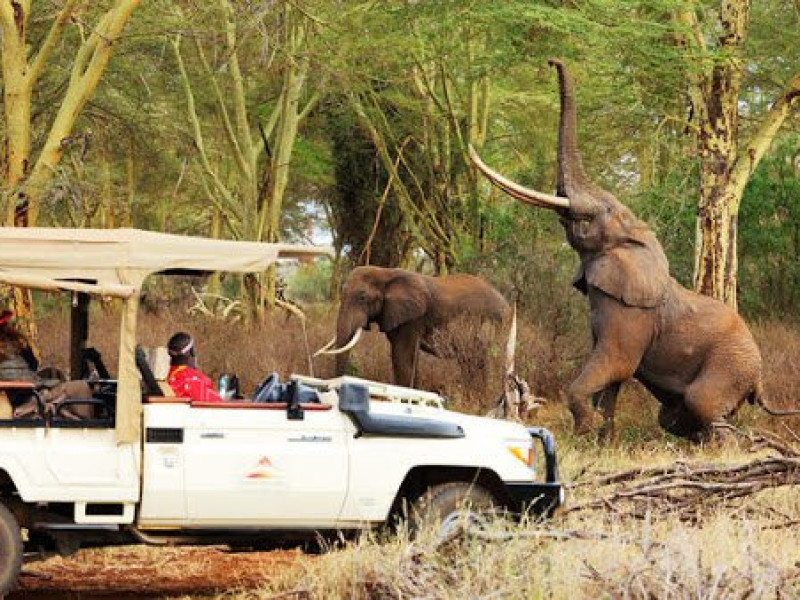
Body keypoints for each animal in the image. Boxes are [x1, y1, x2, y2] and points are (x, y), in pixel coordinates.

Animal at [316, 266, 510, 394]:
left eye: (362, 297)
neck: (385, 272)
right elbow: (404, 356)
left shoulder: (414, 318)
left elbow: (403, 355)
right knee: (472, 362)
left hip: (495, 322)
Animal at [469, 59, 800, 442]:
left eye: (598, 214)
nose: (551, 61)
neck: (636, 242)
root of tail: (759, 378)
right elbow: (611, 381)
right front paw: (601, 440)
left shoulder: (631, 316)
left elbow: (615, 364)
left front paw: (585, 430)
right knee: (674, 416)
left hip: (730, 365)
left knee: (702, 402)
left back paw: (727, 447)